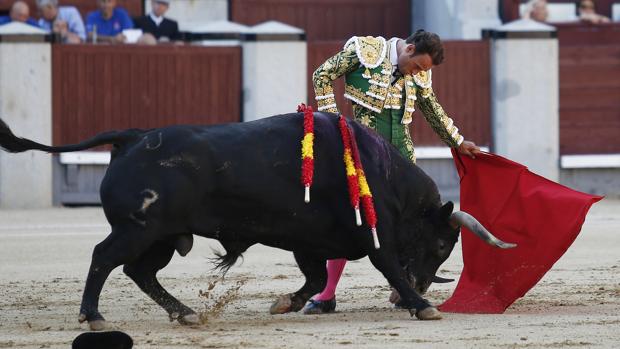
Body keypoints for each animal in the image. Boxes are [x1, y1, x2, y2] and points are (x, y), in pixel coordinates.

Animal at [0, 113, 512, 328]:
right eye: (442, 245)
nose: (424, 284)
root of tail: (132, 137)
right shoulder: (375, 235)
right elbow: (386, 264)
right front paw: (420, 305)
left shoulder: (309, 242)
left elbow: (312, 279)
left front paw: (284, 303)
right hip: (136, 229)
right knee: (103, 258)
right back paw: (93, 316)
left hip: (161, 237)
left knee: (138, 271)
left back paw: (185, 313)